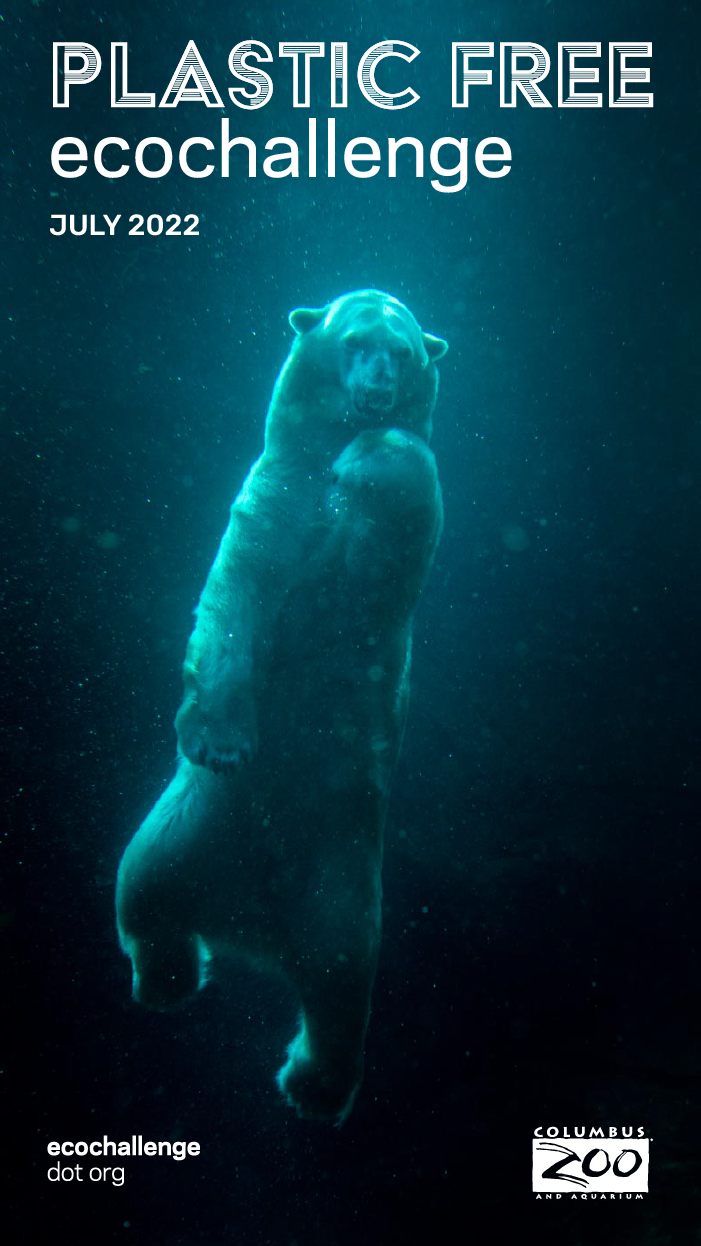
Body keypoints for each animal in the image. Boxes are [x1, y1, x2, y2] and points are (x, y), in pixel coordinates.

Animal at [116, 289, 447, 1120]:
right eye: (354, 340)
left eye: (403, 351)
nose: (377, 385)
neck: (320, 450)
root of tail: (246, 926)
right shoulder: (267, 500)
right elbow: (234, 607)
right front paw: (219, 743)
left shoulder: (387, 547)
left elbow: (392, 506)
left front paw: (370, 451)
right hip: (180, 832)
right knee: (144, 898)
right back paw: (169, 983)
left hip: (341, 889)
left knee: (338, 985)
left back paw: (310, 1085)